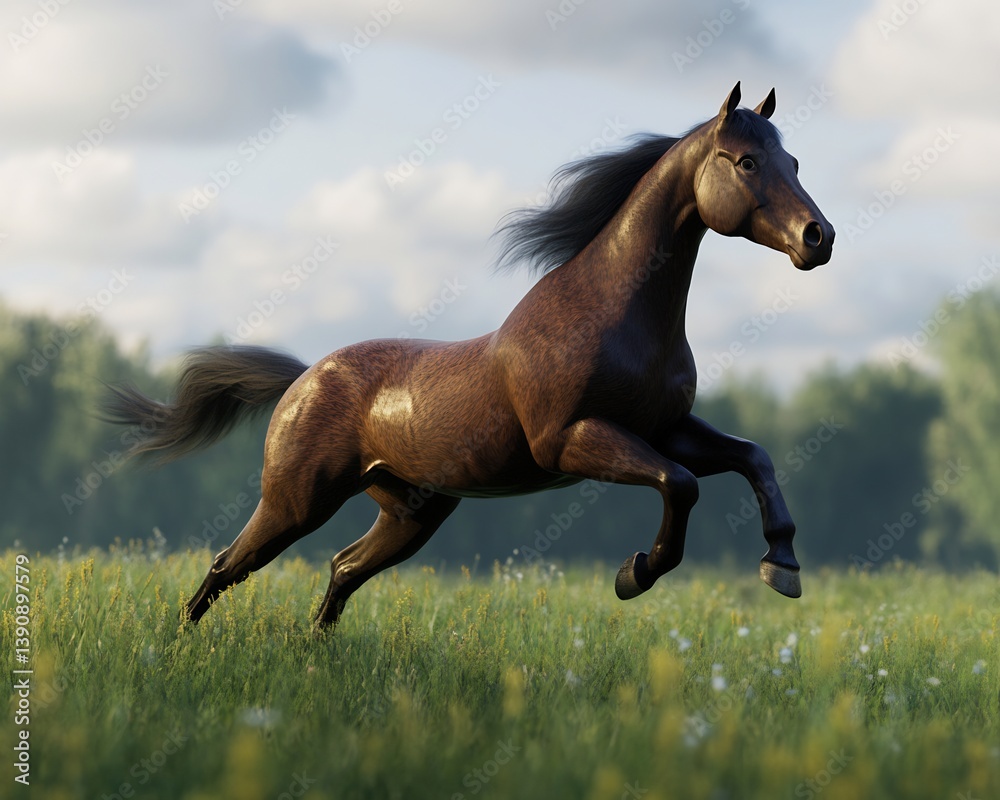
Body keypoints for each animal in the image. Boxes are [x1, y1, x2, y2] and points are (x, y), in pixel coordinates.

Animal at [103, 82, 834, 629]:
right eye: (746, 162)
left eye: (795, 164)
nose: (818, 238)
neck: (613, 314)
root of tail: (303, 379)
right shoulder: (572, 440)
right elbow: (679, 486)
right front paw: (635, 575)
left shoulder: (666, 428)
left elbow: (752, 458)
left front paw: (783, 567)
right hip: (296, 501)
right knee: (228, 565)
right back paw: (180, 649)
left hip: (412, 511)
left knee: (342, 568)